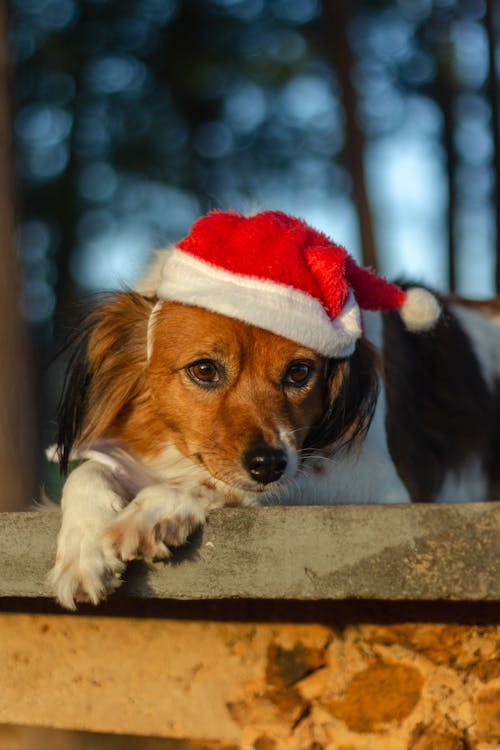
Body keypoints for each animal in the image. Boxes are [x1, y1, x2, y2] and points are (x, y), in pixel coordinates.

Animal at [48, 210, 500, 612]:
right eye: (204, 370)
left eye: (299, 372)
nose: (268, 465)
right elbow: (89, 470)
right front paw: (82, 550)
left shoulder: (377, 484)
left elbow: (219, 480)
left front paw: (154, 508)